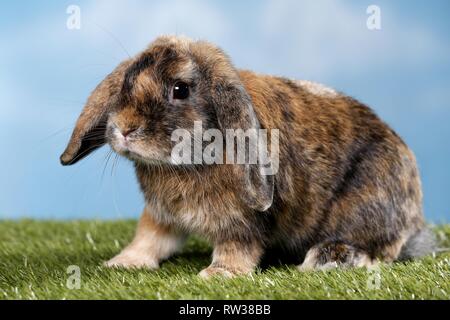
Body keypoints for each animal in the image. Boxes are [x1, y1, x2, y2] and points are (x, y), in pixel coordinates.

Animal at [59, 35, 432, 278]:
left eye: (180, 89)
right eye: (126, 83)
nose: (124, 129)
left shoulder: (243, 222)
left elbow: (237, 246)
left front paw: (219, 274)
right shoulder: (161, 215)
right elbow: (149, 239)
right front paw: (122, 262)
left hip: (365, 208)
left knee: (381, 250)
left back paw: (328, 258)